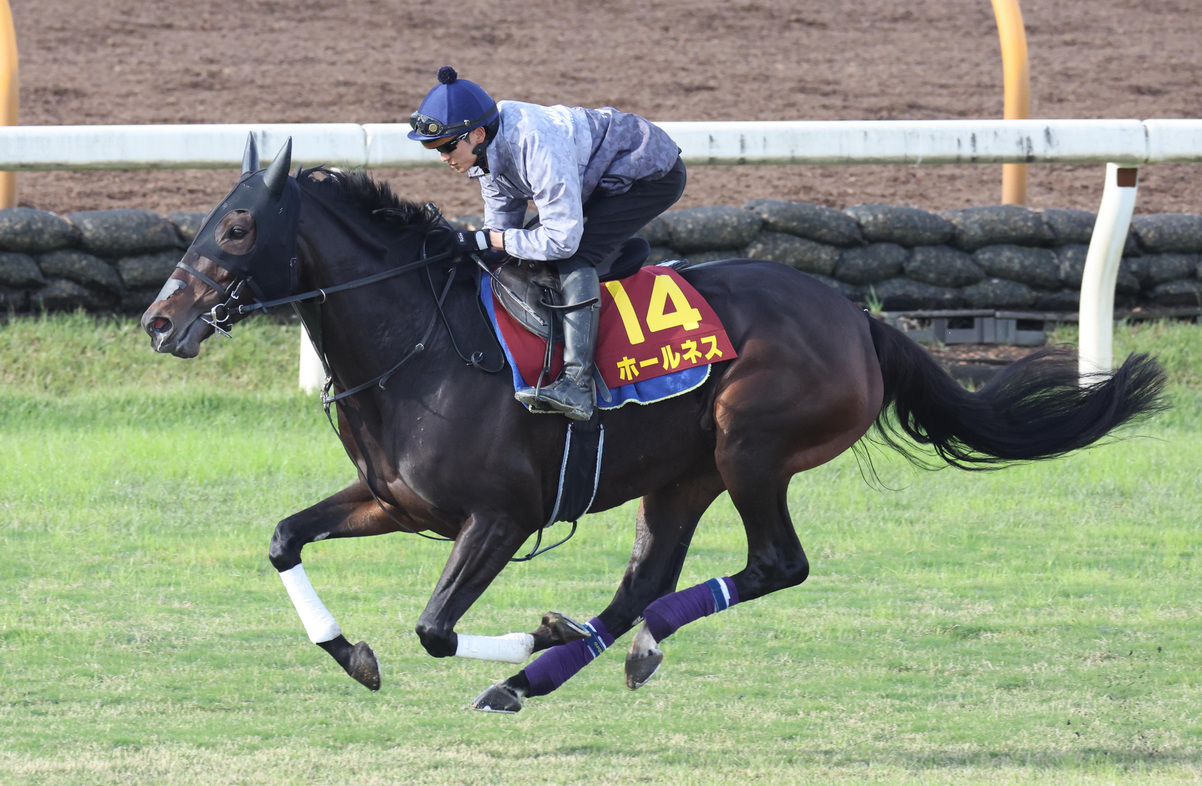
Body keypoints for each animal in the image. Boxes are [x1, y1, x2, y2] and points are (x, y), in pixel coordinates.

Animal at [140, 138, 1163, 716]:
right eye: (211, 218)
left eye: (237, 229)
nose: (157, 320)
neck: (422, 340)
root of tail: (858, 318)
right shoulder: (394, 502)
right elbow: (284, 537)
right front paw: (353, 653)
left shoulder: (501, 517)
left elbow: (432, 627)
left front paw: (525, 635)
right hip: (682, 475)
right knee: (646, 584)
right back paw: (543, 673)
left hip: (751, 448)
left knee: (773, 566)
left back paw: (571, 655)